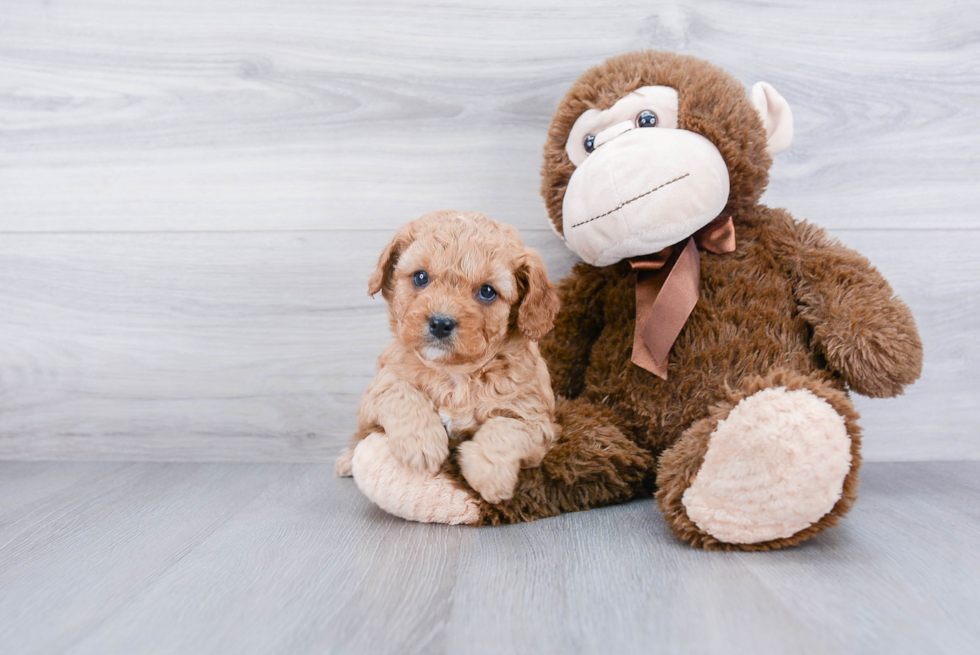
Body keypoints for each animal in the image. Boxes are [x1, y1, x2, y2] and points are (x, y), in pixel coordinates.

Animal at [336, 210, 564, 502]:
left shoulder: (536, 419)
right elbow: (399, 391)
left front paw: (487, 472)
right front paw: (421, 445)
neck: (455, 375)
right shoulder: (378, 387)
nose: (441, 323)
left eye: (487, 291)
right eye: (421, 277)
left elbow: (505, 430)